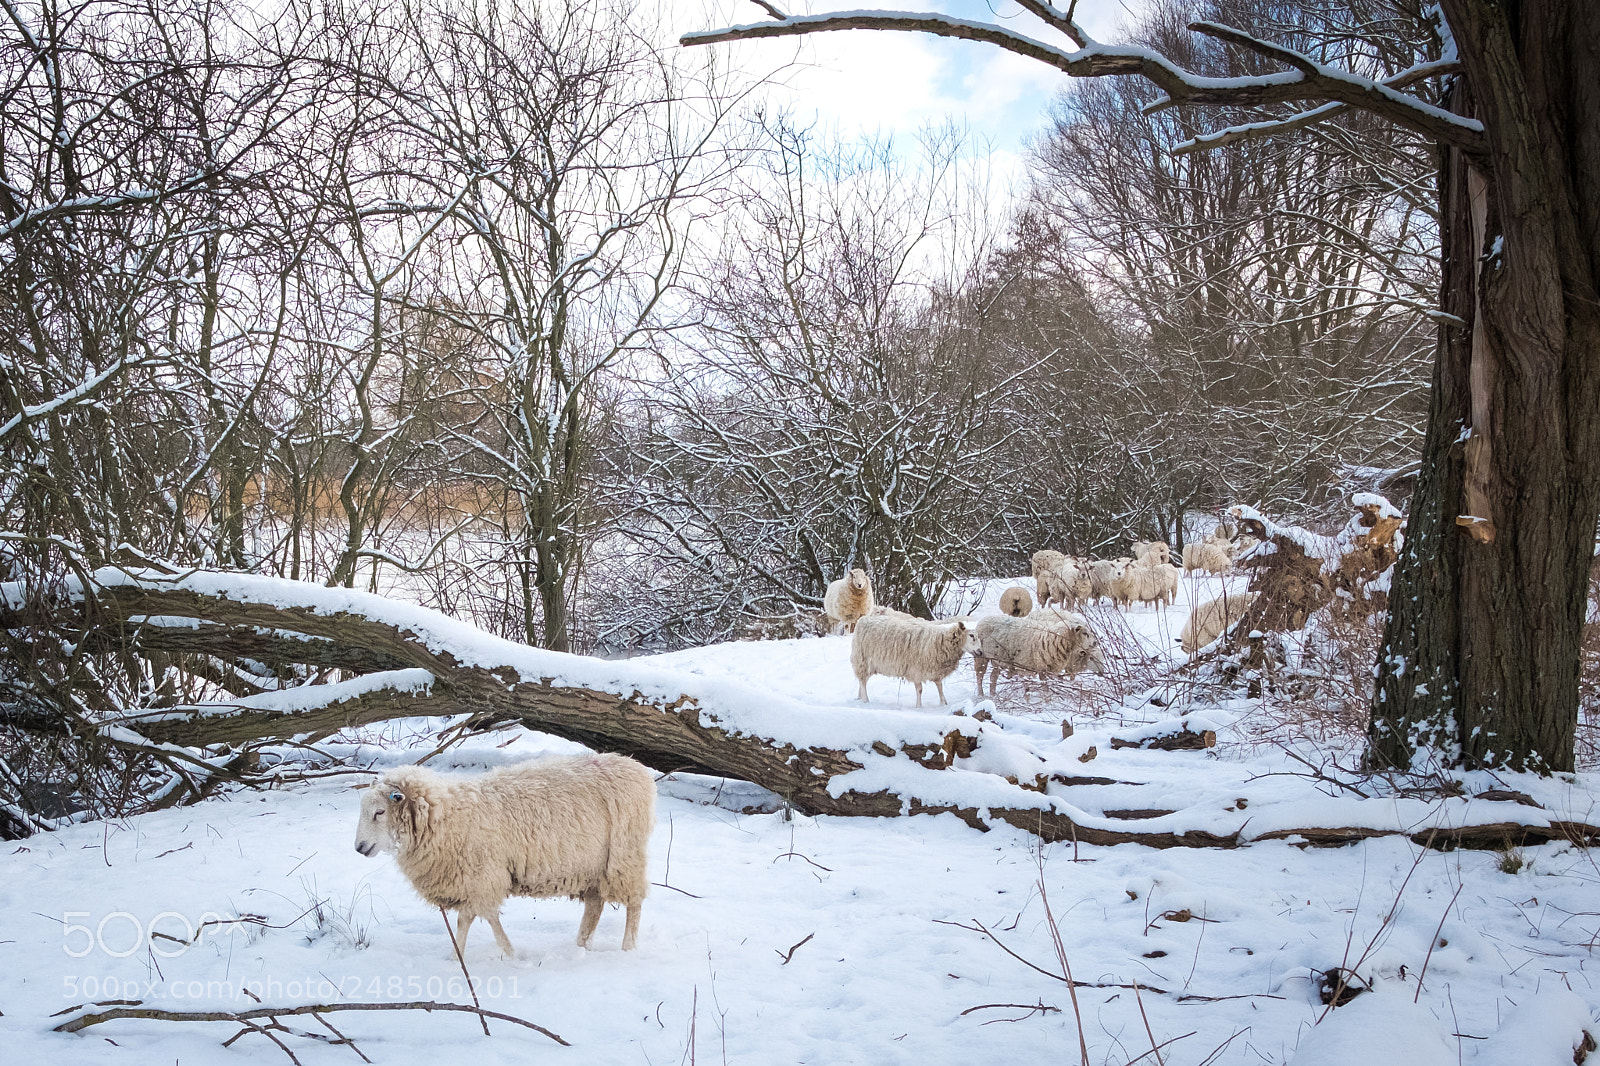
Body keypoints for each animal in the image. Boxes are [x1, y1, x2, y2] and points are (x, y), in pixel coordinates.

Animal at [353, 755, 655, 957]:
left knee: (634, 903)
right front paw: (456, 958)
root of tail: (636, 768)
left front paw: (509, 954)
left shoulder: (482, 877)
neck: (448, 818)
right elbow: (468, 920)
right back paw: (582, 944)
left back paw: (628, 948)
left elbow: (480, 918)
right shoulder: (471, 881)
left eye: (379, 812)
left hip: (624, 855)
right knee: (595, 904)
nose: (358, 847)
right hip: (593, 866)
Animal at [971, 609, 1106, 696]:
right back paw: (981, 695)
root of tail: (984, 619)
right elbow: (1041, 685)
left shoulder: (1040, 667)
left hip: (998, 660)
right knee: (980, 676)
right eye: (1084, 633)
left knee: (993, 676)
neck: (1050, 639)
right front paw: (1042, 698)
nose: (1096, 642)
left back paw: (993, 694)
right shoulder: (1031, 666)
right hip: (981, 656)